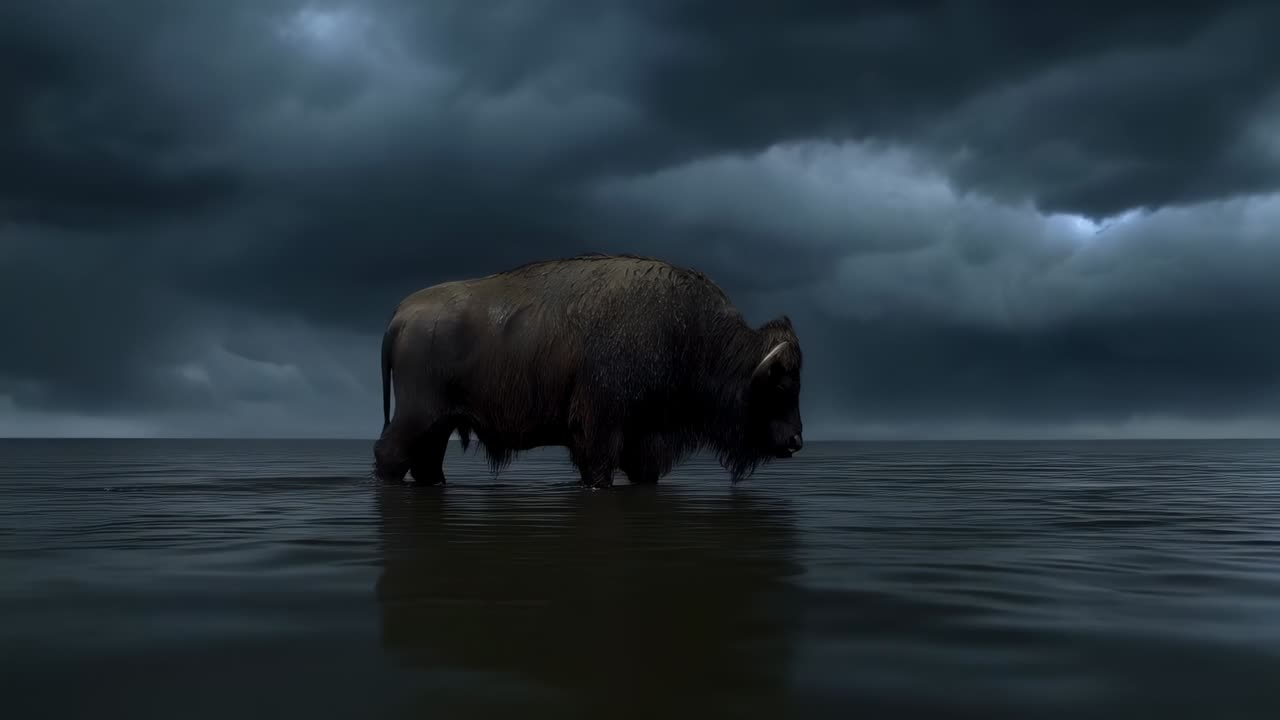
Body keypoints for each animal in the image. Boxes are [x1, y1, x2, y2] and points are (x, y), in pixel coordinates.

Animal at [372, 253, 804, 488]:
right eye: (781, 385)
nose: (797, 441)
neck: (693, 335)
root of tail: (401, 313)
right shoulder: (599, 430)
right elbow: (598, 470)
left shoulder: (642, 440)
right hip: (417, 414)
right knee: (390, 455)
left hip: (439, 425)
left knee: (427, 464)